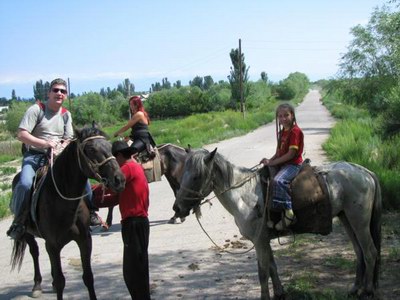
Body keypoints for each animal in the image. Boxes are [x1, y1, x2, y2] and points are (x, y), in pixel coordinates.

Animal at [10, 126, 125, 300]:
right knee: (34, 252)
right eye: (91, 149)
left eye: (109, 146)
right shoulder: (52, 244)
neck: (63, 203)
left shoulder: (84, 240)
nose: (119, 179)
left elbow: (88, 276)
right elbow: (60, 281)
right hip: (28, 234)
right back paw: (37, 285)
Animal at [172, 148, 382, 300]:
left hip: (359, 221)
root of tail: (365, 172)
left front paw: (266, 297)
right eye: (182, 175)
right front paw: (280, 293)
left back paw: (368, 290)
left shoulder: (259, 241)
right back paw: (355, 289)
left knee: (370, 252)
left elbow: (263, 271)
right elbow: (272, 267)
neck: (244, 195)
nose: (177, 208)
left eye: (196, 176)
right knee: (359, 252)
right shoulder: (264, 240)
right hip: (346, 218)